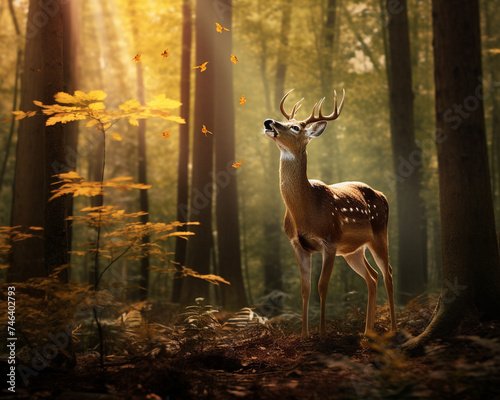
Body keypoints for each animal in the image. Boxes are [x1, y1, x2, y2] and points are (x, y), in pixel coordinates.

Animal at [264, 90, 396, 338]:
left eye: (295, 127)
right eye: (287, 121)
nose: (269, 122)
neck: (306, 212)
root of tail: (383, 195)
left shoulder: (330, 240)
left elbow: (322, 286)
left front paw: (323, 332)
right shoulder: (297, 244)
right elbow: (305, 289)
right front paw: (304, 334)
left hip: (380, 233)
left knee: (388, 273)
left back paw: (393, 328)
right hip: (353, 251)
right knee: (372, 277)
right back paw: (367, 331)